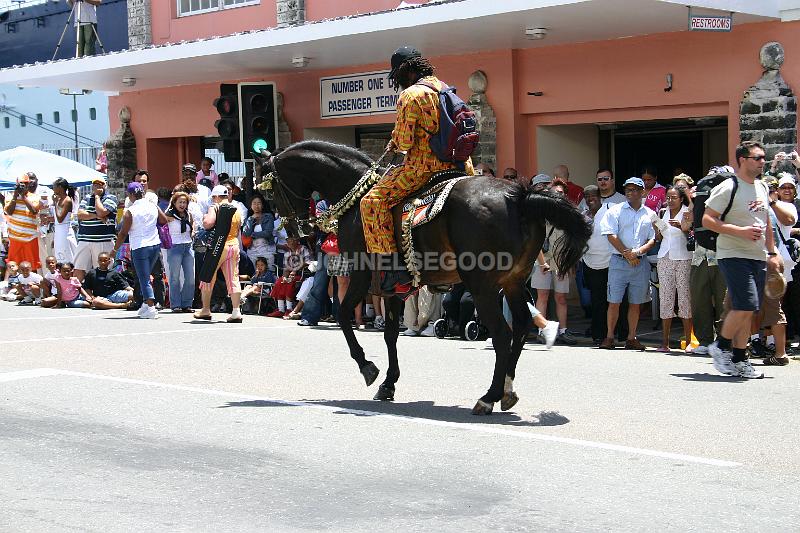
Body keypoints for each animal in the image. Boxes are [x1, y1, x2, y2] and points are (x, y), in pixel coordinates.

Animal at [253, 142, 592, 416]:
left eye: (268, 190)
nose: (295, 231)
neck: (357, 193)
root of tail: (518, 195)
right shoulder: (390, 288)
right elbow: (390, 334)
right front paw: (388, 383)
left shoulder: (361, 274)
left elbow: (343, 313)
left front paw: (367, 367)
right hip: (513, 282)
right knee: (520, 326)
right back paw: (507, 391)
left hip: (482, 286)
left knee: (502, 334)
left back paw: (488, 397)